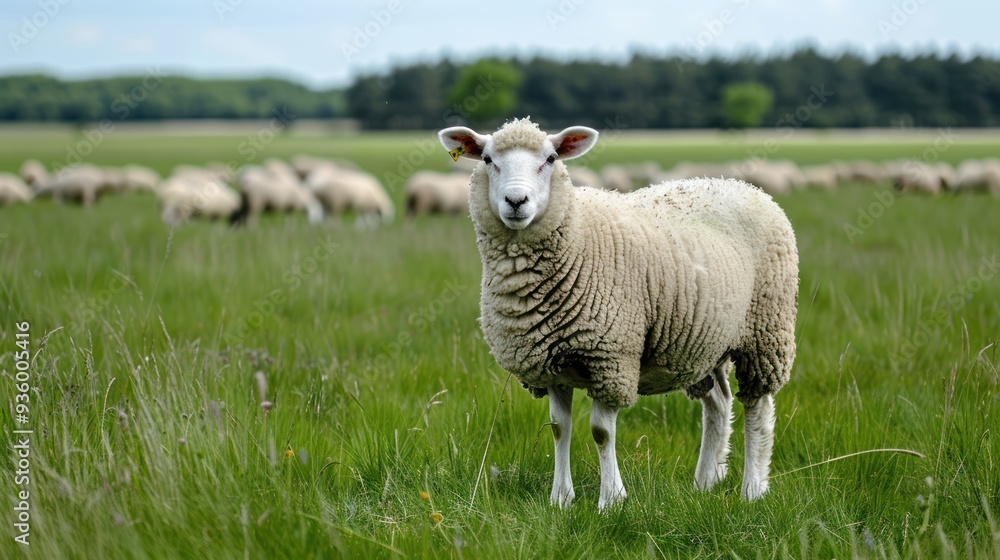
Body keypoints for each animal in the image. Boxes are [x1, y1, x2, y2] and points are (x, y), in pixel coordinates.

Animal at [439, 118, 798, 510]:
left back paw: (753, 489)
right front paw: (561, 498)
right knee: (718, 403)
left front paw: (611, 499)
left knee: (757, 409)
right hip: (704, 341)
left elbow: (600, 432)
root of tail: (740, 184)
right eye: (488, 159)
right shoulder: (551, 362)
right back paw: (705, 482)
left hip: (765, 333)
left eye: (550, 159)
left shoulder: (611, 358)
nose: (516, 201)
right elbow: (559, 427)